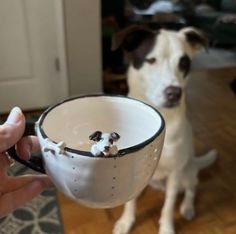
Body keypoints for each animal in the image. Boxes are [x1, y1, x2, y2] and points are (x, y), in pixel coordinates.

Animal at [112, 24, 218, 233]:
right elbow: (130, 202)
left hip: (187, 173)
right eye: (151, 60)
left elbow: (168, 205)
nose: (174, 94)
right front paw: (126, 221)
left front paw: (167, 227)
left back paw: (187, 207)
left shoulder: (175, 173)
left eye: (184, 63)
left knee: (192, 188)